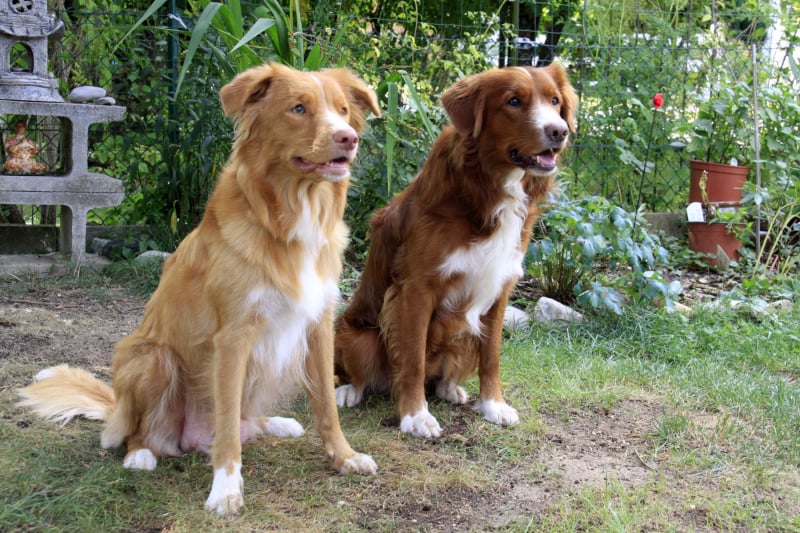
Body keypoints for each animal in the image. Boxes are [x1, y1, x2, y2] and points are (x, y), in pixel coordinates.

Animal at [17, 62, 381, 518]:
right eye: (299, 108)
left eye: (344, 110)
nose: (348, 138)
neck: (288, 216)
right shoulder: (232, 339)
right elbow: (225, 425)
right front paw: (225, 489)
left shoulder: (317, 326)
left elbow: (327, 407)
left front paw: (344, 457)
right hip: (150, 357)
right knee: (146, 432)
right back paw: (140, 454)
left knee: (241, 423)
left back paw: (276, 423)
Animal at [333, 64, 576, 438]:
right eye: (513, 101)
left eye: (555, 101)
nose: (559, 131)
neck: (488, 189)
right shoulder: (416, 289)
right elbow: (413, 359)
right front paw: (415, 415)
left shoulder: (501, 288)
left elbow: (492, 356)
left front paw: (493, 405)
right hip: (355, 335)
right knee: (362, 371)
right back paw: (349, 390)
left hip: (464, 330)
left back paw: (451, 389)